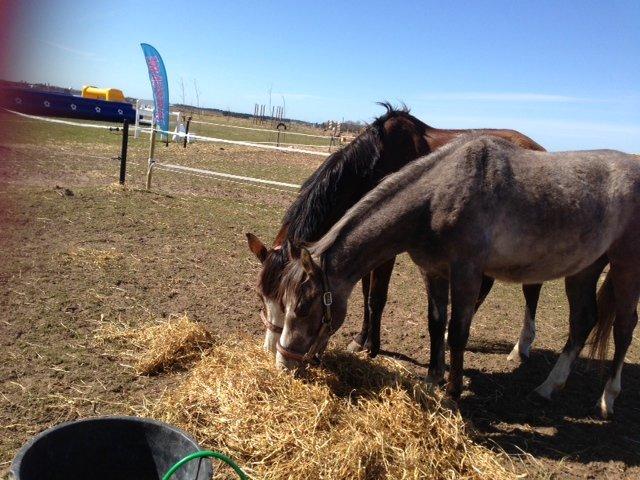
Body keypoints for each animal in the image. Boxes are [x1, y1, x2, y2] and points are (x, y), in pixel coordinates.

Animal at [245, 106, 544, 382]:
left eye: (289, 303)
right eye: (261, 296)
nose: (271, 350)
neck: (375, 164)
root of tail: (538, 148)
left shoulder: (387, 252)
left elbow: (376, 298)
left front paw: (373, 347)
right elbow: (365, 294)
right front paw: (361, 339)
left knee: (532, 290)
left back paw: (521, 347)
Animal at [276, 133, 640, 418]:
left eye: (305, 307)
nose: (284, 362)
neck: (439, 195)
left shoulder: (466, 272)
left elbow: (458, 332)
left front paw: (452, 393)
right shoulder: (433, 271)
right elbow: (436, 323)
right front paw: (432, 379)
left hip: (626, 268)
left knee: (624, 327)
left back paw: (607, 398)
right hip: (584, 269)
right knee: (583, 321)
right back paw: (549, 386)